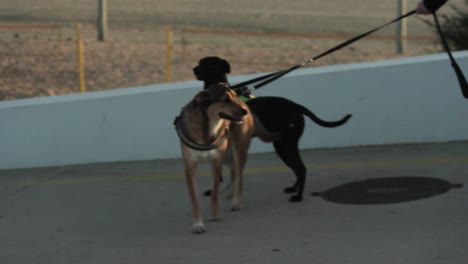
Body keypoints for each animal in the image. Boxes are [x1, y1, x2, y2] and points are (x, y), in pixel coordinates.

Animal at [175, 83, 254, 233]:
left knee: (239, 174)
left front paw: (214, 215)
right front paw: (197, 224)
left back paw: (236, 200)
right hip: (227, 156)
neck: (208, 128)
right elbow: (194, 198)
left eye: (234, 96)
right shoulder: (190, 167)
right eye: (226, 100)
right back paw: (230, 192)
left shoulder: (216, 163)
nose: (244, 112)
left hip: (238, 149)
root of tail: (244, 103)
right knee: (234, 170)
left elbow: (214, 192)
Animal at [191, 56, 352, 202]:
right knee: (298, 169)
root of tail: (296, 106)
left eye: (205, 63)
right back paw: (293, 188)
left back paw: (298, 196)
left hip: (285, 145)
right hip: (283, 145)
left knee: (301, 168)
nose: (194, 69)